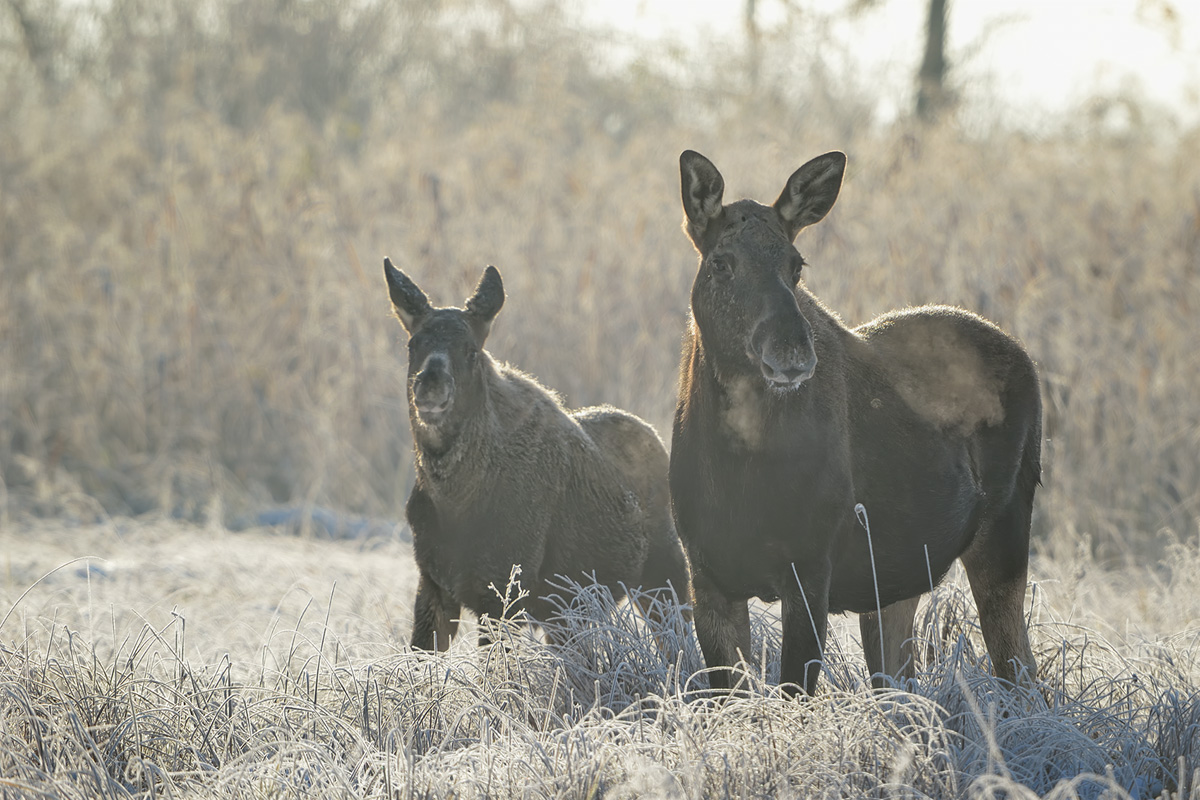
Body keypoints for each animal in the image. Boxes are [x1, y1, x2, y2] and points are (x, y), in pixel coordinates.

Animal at [384, 260, 696, 652]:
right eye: (413, 344)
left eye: (471, 349)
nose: (430, 383)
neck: (452, 501)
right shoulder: (433, 583)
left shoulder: (504, 589)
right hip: (569, 608)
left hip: (666, 574)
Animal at [667, 148, 1041, 695]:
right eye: (721, 261)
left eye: (796, 264)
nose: (793, 352)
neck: (736, 467)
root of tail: (1025, 357)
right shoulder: (707, 572)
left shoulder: (810, 566)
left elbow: (794, 693)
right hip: (898, 575)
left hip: (1006, 529)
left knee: (1023, 674)